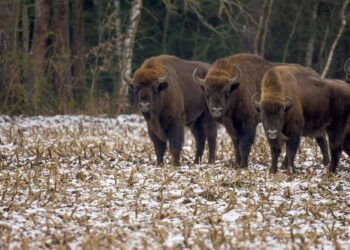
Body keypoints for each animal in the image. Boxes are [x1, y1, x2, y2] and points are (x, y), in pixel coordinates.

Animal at [193, 52, 330, 170]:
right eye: (207, 91)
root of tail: (317, 75)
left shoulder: (249, 123)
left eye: (226, 91)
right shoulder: (231, 126)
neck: (237, 89)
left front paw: (243, 166)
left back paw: (325, 163)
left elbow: (244, 145)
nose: (216, 110)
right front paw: (237, 164)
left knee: (320, 138)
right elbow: (236, 144)